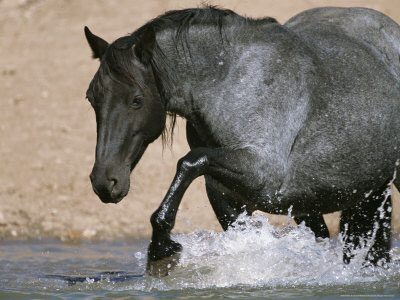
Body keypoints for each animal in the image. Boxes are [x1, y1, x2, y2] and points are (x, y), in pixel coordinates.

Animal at [83, 5, 400, 276]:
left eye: (136, 99)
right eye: (91, 98)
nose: (105, 182)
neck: (231, 80)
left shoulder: (262, 175)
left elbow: (190, 161)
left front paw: (162, 249)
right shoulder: (227, 194)